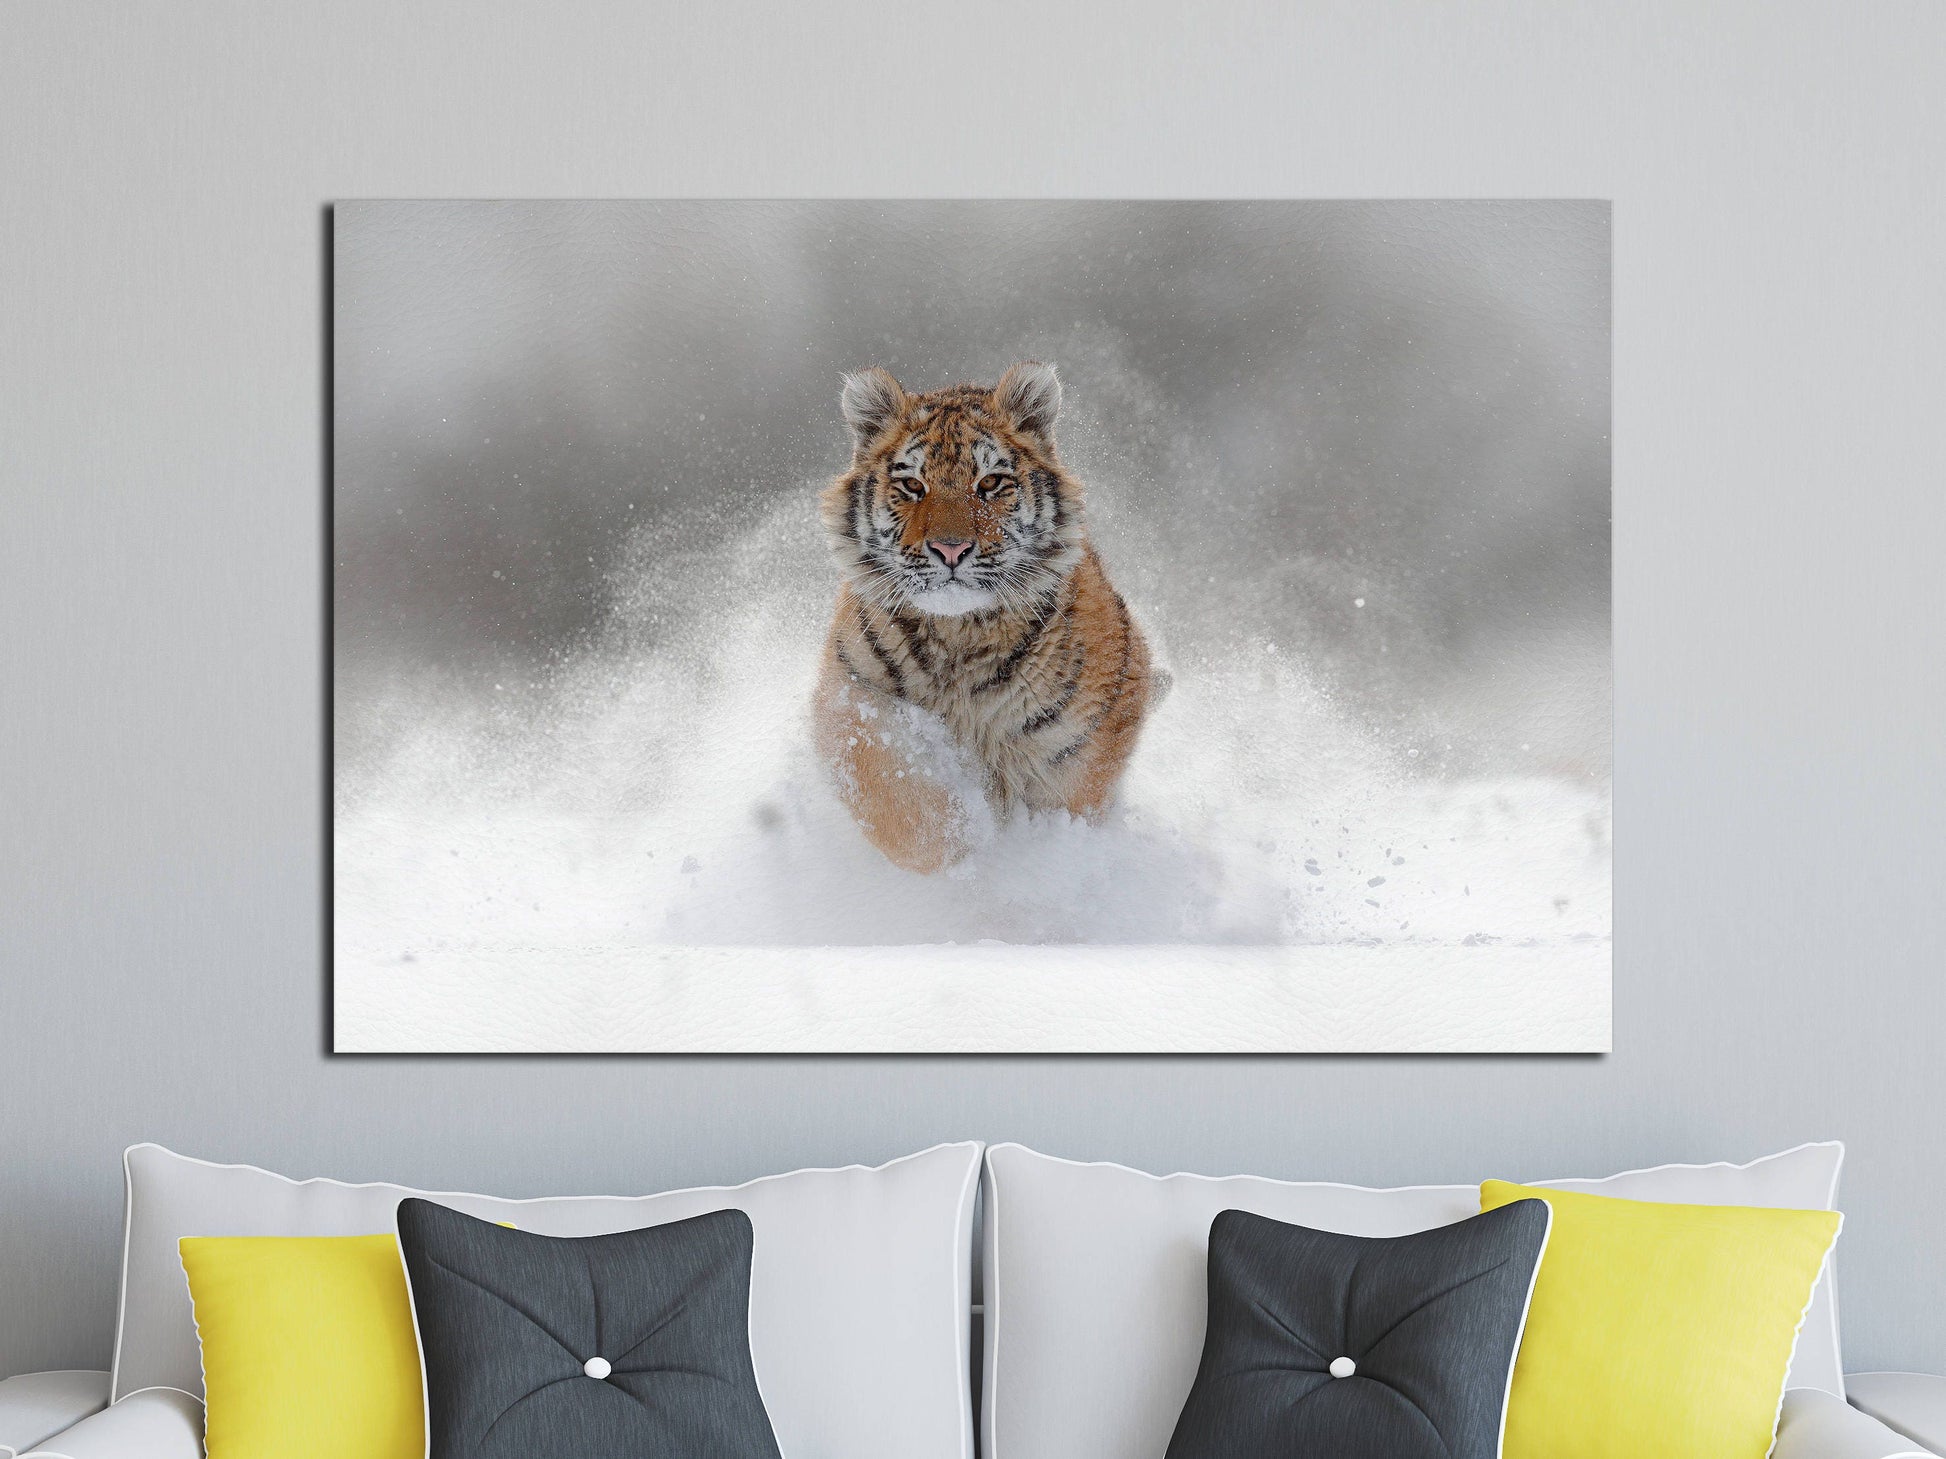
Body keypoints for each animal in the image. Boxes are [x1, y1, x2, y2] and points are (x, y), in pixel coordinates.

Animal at [812, 361, 1162, 874]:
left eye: (990, 483)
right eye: (912, 486)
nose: (950, 549)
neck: (959, 636)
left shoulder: (1081, 745)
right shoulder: (851, 697)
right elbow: (899, 801)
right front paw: (962, 848)